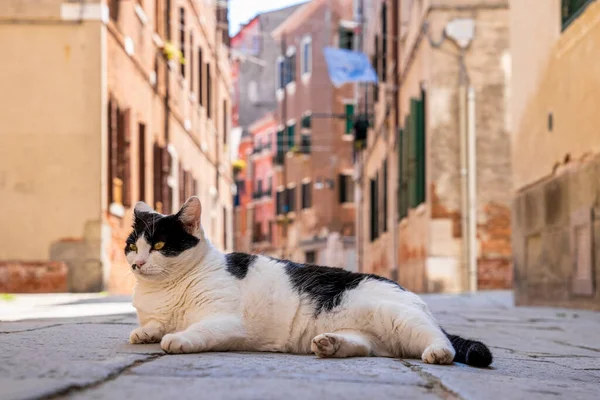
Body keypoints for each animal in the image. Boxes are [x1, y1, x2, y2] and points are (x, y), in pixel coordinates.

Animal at [125, 195, 492, 368]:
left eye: (159, 246)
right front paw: (146, 332)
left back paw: (438, 352)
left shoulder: (226, 321)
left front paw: (176, 338)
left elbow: (196, 330)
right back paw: (330, 344)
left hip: (402, 318)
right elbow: (153, 324)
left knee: (438, 339)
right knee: (366, 347)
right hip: (371, 334)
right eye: (132, 246)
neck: (164, 290)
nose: (138, 263)